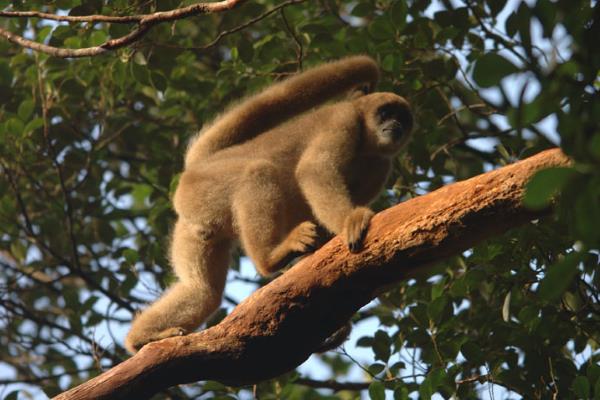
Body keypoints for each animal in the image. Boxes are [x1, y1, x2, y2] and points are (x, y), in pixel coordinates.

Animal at [124, 55, 414, 354]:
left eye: (403, 118)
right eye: (385, 113)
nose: (396, 126)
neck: (367, 144)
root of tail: (201, 164)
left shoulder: (382, 164)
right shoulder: (343, 121)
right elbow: (314, 171)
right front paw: (350, 221)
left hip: (194, 223)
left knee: (202, 292)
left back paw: (142, 338)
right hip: (202, 189)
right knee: (258, 173)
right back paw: (270, 257)